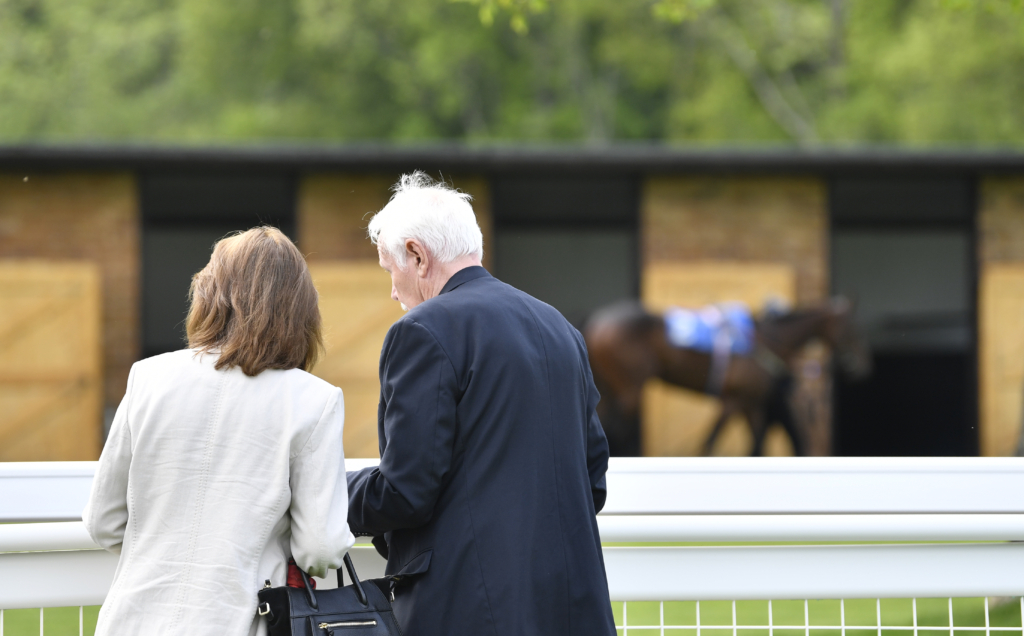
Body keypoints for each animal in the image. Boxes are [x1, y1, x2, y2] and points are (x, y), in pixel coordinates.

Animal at [585, 299, 872, 456]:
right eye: (852, 328)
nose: (862, 365)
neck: (764, 339)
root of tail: (596, 323)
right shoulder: (731, 402)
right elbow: (709, 444)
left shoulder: (751, 405)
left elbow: (757, 446)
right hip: (629, 390)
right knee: (615, 429)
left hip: (609, 390)